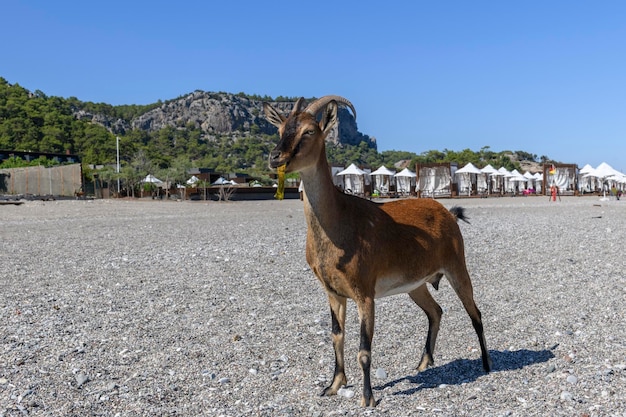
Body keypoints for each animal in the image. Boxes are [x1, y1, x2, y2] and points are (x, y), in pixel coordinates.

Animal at [260, 96, 490, 404]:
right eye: (280, 128)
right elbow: (336, 336)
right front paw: (333, 385)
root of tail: (449, 213)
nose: (276, 157)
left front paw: (367, 397)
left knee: (475, 313)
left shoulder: (364, 291)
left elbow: (364, 348)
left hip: (457, 266)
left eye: (309, 131)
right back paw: (423, 363)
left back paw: (487, 365)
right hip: (415, 284)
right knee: (436, 311)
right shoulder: (333, 291)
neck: (339, 224)